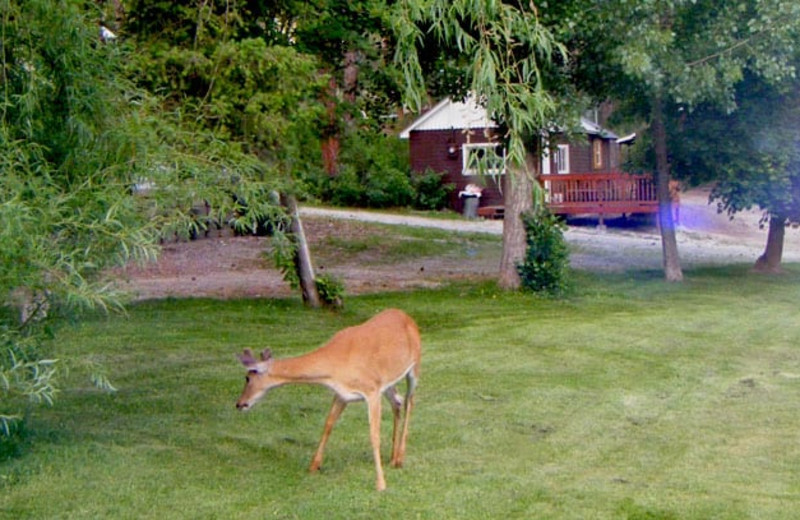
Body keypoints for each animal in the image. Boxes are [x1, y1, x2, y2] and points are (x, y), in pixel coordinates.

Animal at [234, 308, 422, 492]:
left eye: (247, 378)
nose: (240, 403)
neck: (335, 365)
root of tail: (407, 316)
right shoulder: (342, 394)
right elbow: (328, 425)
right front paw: (313, 466)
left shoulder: (371, 390)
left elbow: (374, 435)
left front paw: (381, 484)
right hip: (389, 381)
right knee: (397, 401)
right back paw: (393, 458)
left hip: (415, 366)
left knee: (409, 401)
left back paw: (400, 458)